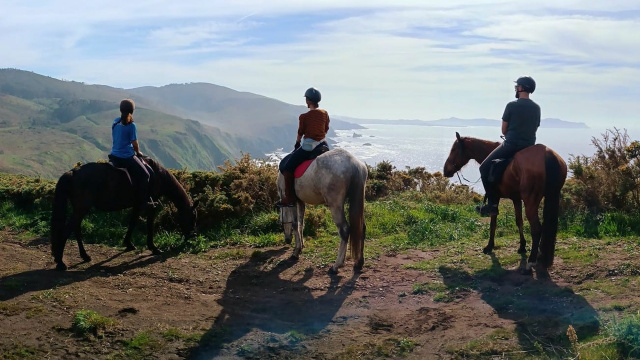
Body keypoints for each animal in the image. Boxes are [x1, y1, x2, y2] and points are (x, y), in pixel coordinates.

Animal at [50, 156, 198, 272]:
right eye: (193, 218)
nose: (190, 236)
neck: (157, 174)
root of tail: (72, 173)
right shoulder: (151, 205)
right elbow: (149, 225)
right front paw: (153, 248)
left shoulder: (137, 205)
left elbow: (132, 222)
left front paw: (128, 243)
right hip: (81, 208)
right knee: (66, 231)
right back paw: (61, 263)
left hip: (79, 209)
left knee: (76, 229)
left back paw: (84, 256)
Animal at [442, 134, 568, 272]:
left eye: (454, 150)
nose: (445, 170)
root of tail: (547, 154)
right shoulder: (516, 199)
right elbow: (519, 222)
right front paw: (522, 246)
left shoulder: (495, 198)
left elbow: (493, 223)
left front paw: (489, 246)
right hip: (552, 196)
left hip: (531, 202)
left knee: (536, 230)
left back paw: (531, 261)